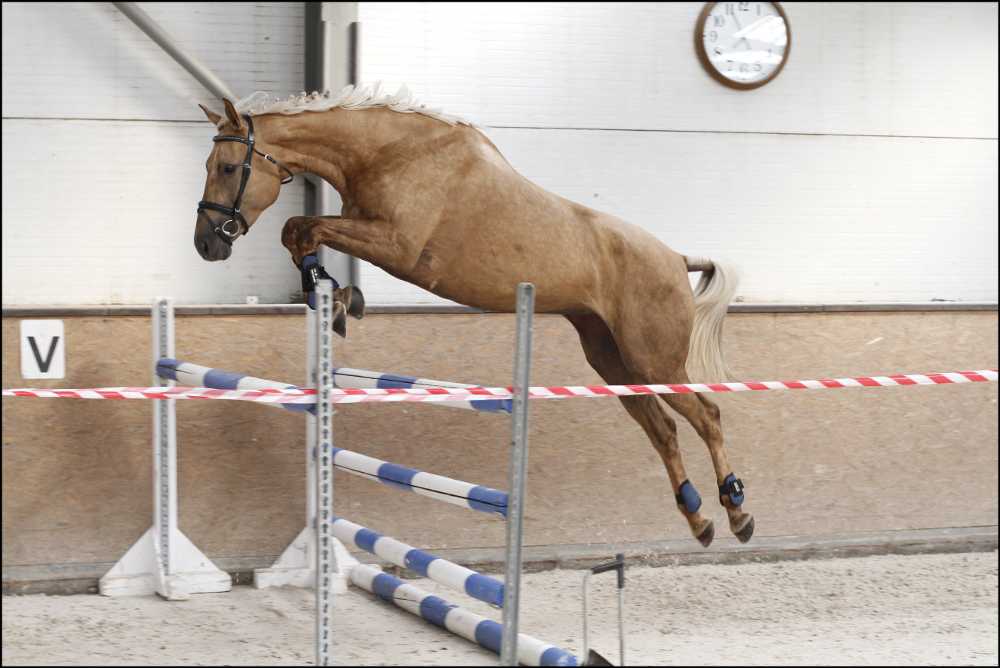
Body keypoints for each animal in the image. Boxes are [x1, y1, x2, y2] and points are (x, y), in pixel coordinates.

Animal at [193, 83, 752, 544]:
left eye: (227, 168)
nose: (206, 244)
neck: (387, 152)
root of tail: (675, 258)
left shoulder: (395, 244)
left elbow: (301, 227)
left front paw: (339, 301)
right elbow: (299, 233)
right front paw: (335, 298)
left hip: (652, 359)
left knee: (706, 415)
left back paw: (737, 511)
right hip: (613, 362)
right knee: (662, 429)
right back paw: (699, 519)